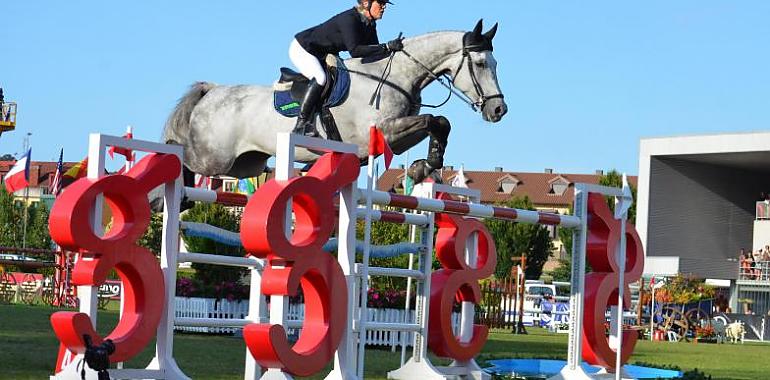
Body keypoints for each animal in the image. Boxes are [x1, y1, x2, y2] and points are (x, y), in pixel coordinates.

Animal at [163, 19, 508, 189]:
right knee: (184, 161)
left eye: (495, 63)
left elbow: (440, 123)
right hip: (213, 159)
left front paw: (424, 166)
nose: (498, 110)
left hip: (246, 163)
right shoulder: (381, 132)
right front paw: (425, 166)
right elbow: (434, 121)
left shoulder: (393, 138)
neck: (395, 75)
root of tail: (212, 92)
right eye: (480, 63)